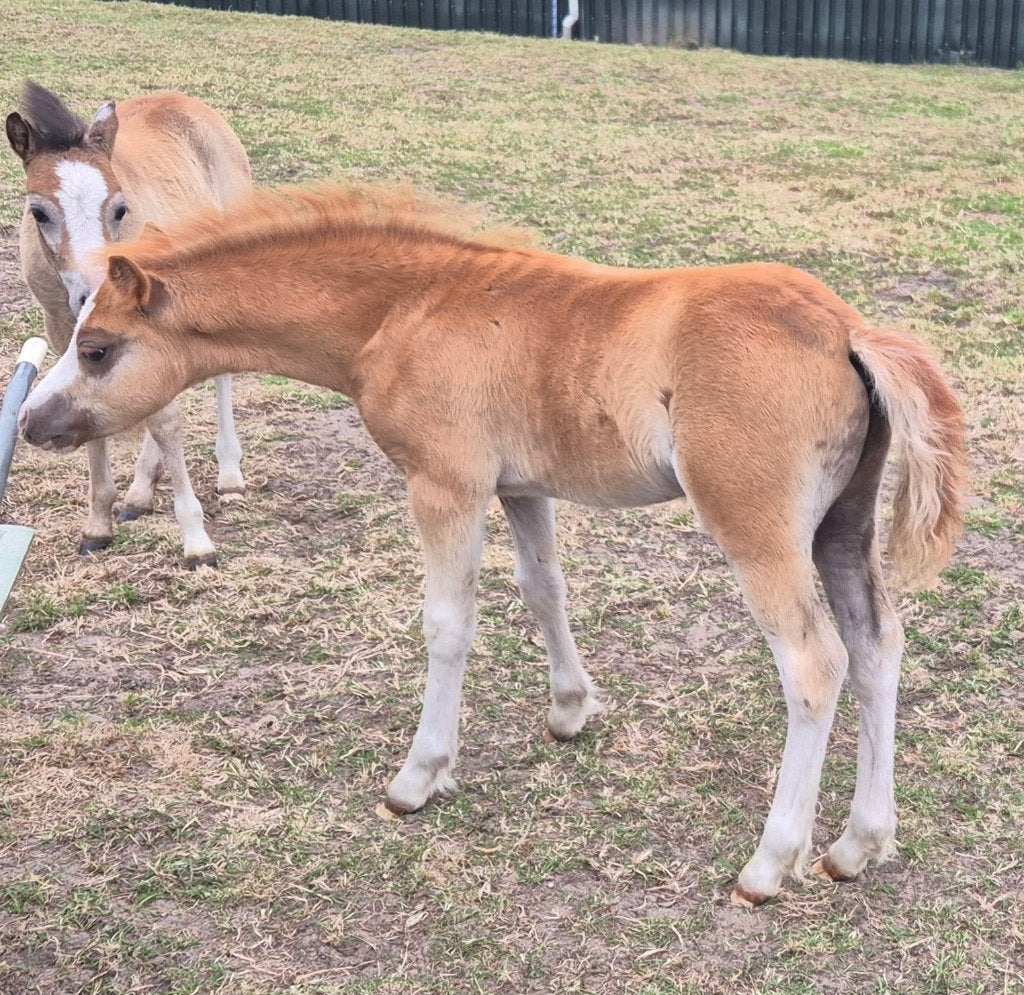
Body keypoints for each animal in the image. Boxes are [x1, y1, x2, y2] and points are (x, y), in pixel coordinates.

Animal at [5, 81, 249, 567]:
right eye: (38, 213)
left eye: (120, 208)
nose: (93, 294)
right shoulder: (66, 331)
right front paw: (99, 523)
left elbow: (167, 421)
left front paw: (197, 541)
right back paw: (140, 493)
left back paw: (229, 474)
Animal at [19, 184, 967, 906]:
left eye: (97, 349)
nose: (31, 421)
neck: (405, 309)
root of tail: (847, 329)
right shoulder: (520, 487)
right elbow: (544, 588)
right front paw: (570, 710)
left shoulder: (447, 483)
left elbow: (448, 625)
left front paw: (418, 777)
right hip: (841, 521)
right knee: (877, 643)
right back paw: (857, 844)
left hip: (757, 525)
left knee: (814, 663)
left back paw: (770, 864)